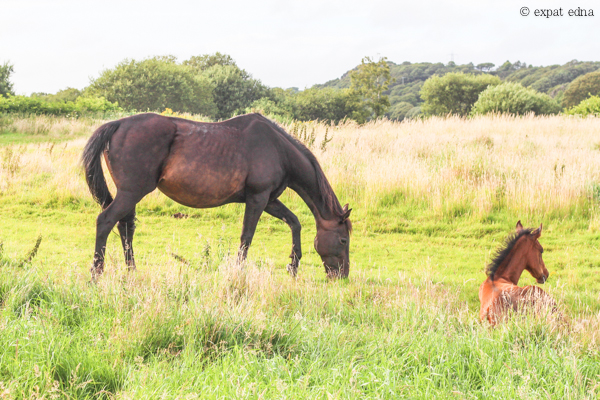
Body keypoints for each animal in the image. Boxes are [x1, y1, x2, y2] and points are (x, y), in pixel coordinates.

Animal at [80, 112, 352, 280]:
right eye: (343, 240)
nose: (342, 275)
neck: (278, 149)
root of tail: (118, 124)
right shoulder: (258, 198)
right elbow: (247, 237)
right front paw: (239, 272)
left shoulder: (269, 200)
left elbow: (294, 222)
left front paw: (293, 265)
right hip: (131, 192)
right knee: (106, 221)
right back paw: (97, 273)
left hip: (130, 195)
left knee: (125, 227)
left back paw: (132, 272)